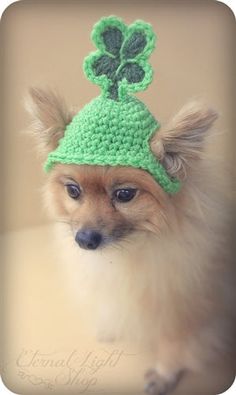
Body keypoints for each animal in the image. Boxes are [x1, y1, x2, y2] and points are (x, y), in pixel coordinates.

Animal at [24, 89, 235, 395]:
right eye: (73, 191)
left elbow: (174, 344)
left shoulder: (183, 307)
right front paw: (110, 327)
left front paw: (163, 374)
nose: (84, 239)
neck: (129, 251)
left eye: (124, 195)